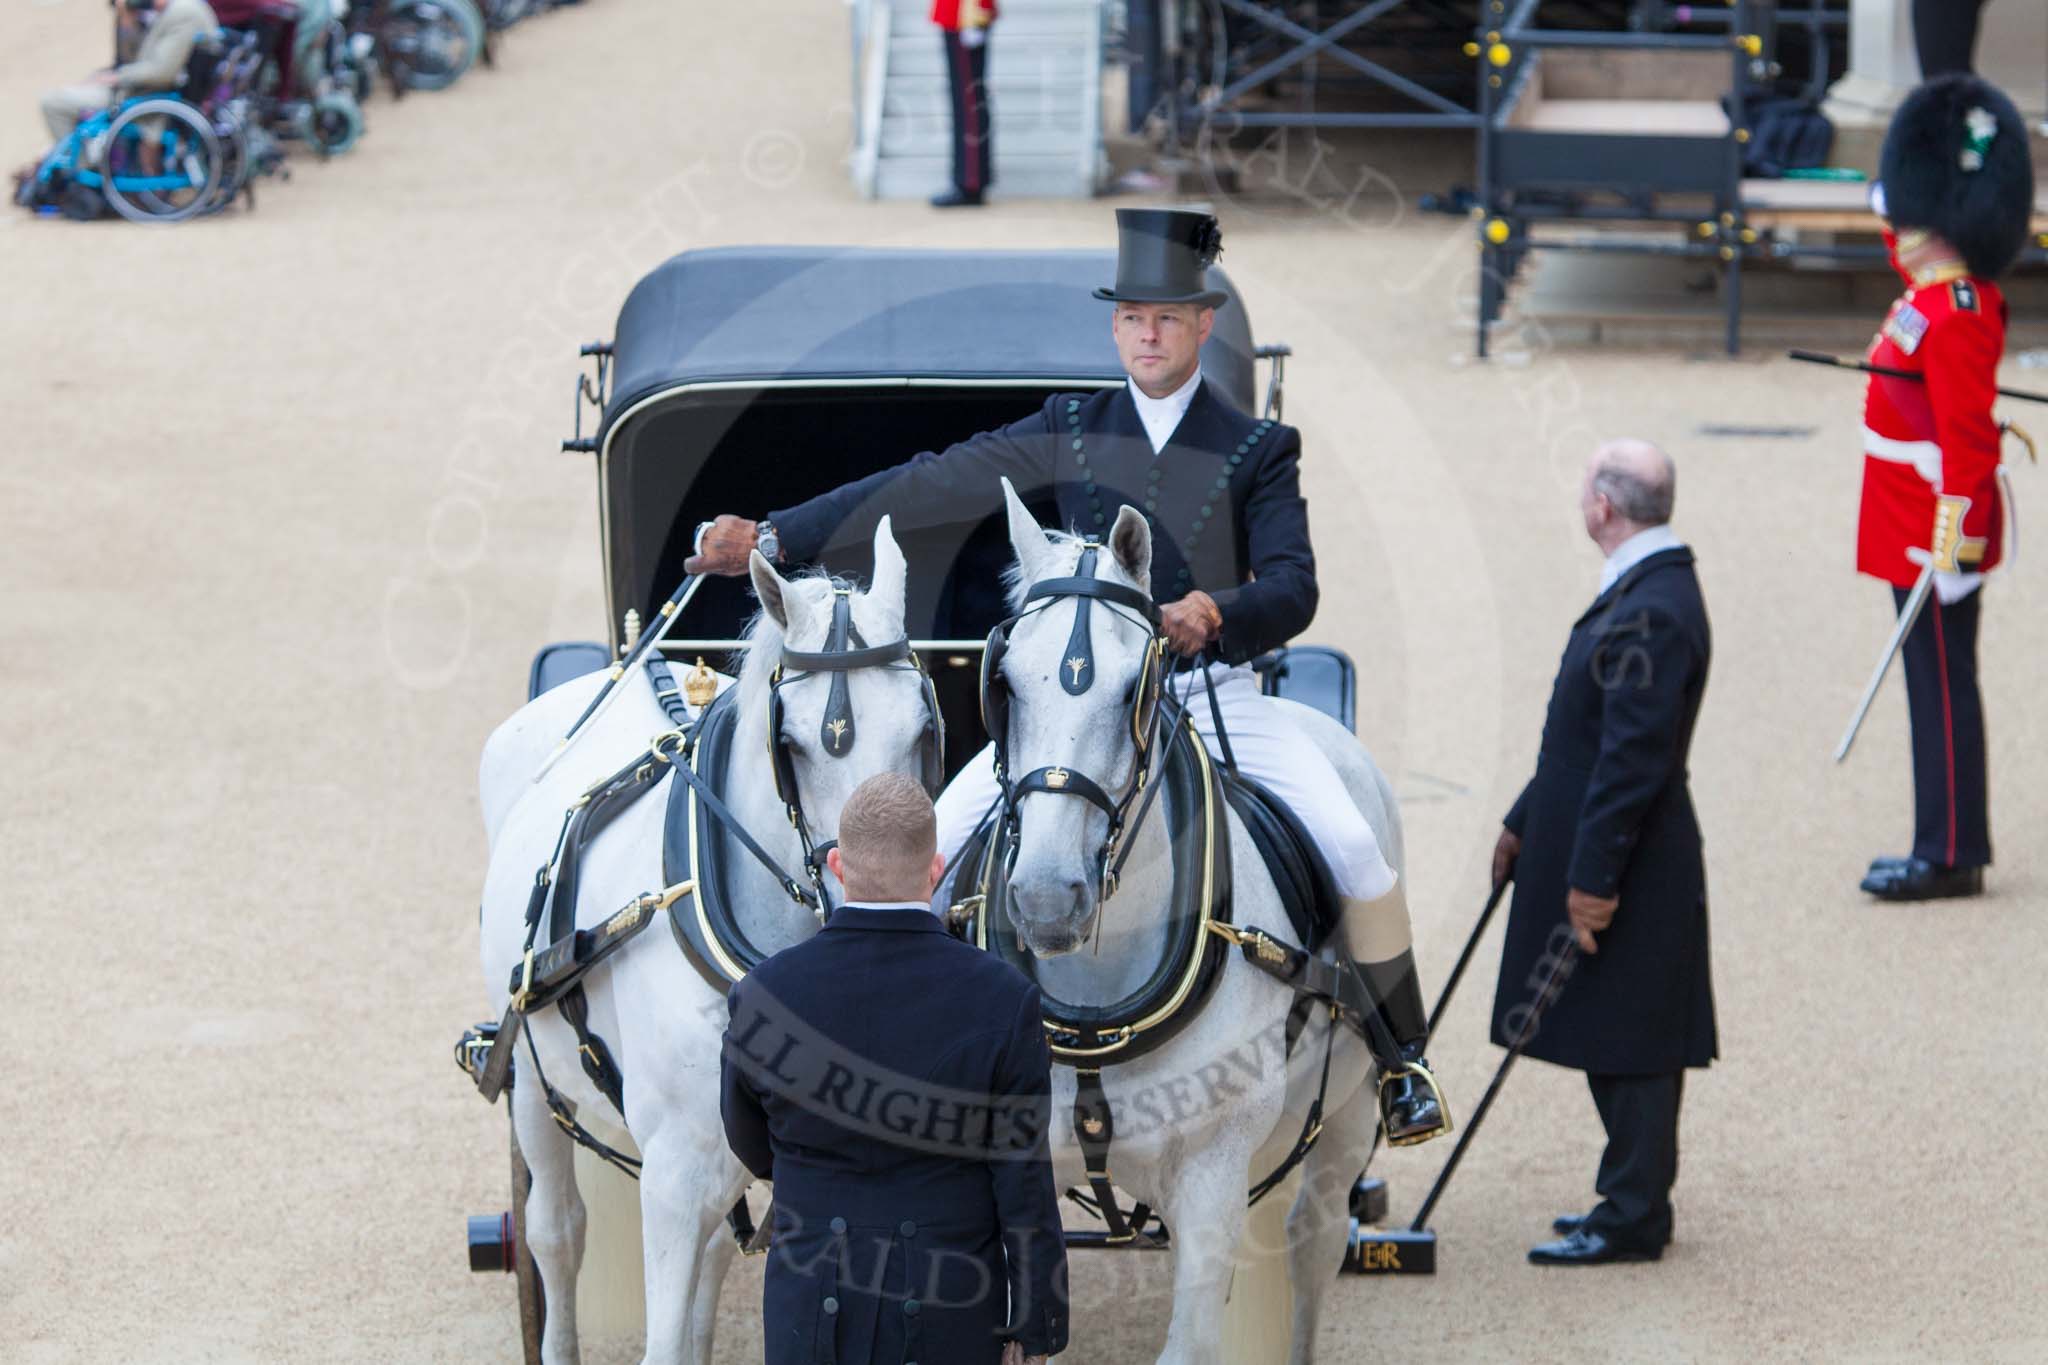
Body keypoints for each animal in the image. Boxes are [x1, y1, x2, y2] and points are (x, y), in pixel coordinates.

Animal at [475, 517, 933, 1358]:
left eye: (923, 723)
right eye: (795, 742)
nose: (881, 898)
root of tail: (633, 661)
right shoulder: (675, 1174)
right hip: (530, 1076)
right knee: (557, 1232)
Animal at [983, 485, 1400, 1358]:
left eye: (1132, 691)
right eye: (1003, 682)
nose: (1045, 897)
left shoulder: (1213, 1175)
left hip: (1345, 1119)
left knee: (1313, 1241)